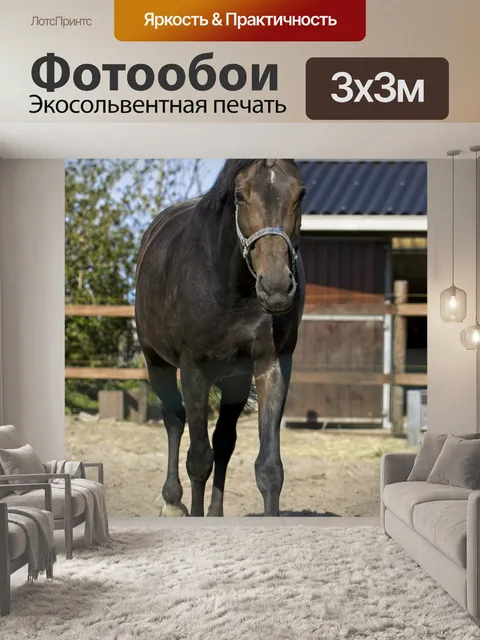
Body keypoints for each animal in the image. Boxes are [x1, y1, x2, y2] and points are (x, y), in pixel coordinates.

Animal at [134, 159, 306, 517]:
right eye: (239, 195)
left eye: (301, 193)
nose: (277, 288)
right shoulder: (194, 369)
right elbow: (199, 460)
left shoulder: (272, 364)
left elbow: (269, 469)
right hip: (156, 363)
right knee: (174, 421)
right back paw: (172, 502)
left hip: (235, 379)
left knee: (224, 440)